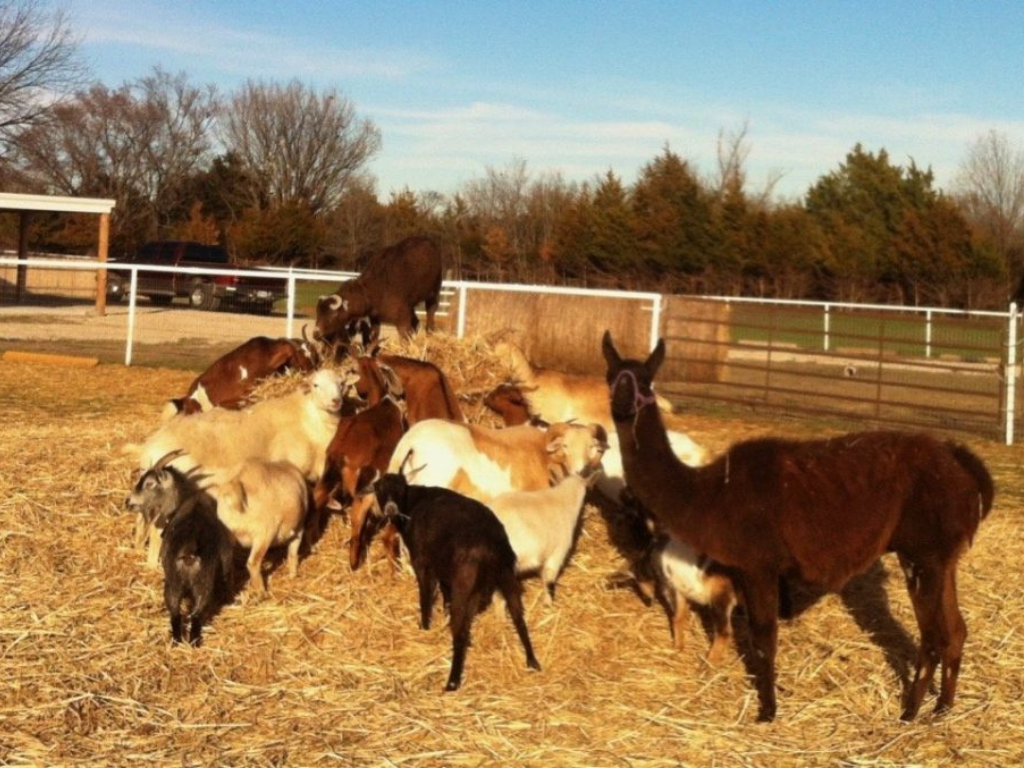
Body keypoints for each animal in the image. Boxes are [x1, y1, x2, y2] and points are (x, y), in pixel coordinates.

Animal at [209, 459, 309, 600]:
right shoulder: (298, 529)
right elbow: (292, 553)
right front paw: (293, 575)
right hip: (264, 533)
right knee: (253, 563)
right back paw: (262, 593)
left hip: (229, 537)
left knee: (229, 566)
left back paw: (231, 593)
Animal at [372, 465, 541, 691]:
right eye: (379, 488)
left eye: (400, 488)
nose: (390, 509)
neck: (412, 502)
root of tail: (490, 546)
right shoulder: (443, 568)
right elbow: (445, 592)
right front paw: (443, 614)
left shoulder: (422, 562)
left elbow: (425, 596)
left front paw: (424, 627)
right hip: (505, 575)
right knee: (518, 616)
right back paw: (532, 661)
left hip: (465, 582)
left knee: (459, 630)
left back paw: (452, 682)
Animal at [602, 330, 995, 722]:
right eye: (611, 376)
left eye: (646, 381)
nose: (621, 403)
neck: (710, 491)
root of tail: (959, 459)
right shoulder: (750, 569)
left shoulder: (758, 563)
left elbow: (763, 639)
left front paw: (767, 711)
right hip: (941, 556)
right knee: (955, 630)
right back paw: (943, 708)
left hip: (924, 554)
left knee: (931, 636)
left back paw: (910, 712)